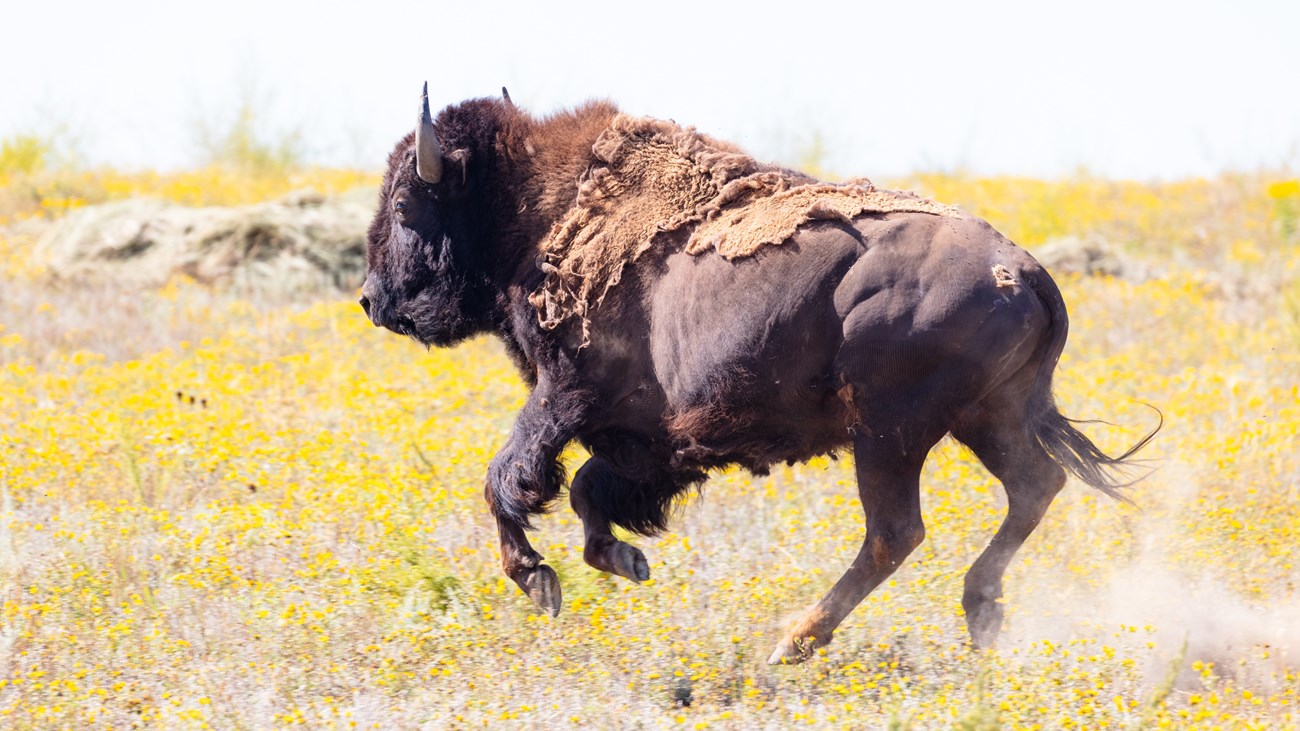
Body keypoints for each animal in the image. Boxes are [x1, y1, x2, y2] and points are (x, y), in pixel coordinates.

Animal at [358, 83, 1159, 660]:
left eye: (404, 202)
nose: (370, 298)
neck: (534, 208)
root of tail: (1022, 270)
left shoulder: (568, 397)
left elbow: (508, 480)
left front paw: (538, 581)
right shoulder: (647, 439)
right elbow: (587, 492)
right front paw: (627, 559)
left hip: (891, 432)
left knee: (896, 531)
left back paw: (796, 640)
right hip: (985, 418)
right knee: (1031, 487)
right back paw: (979, 613)